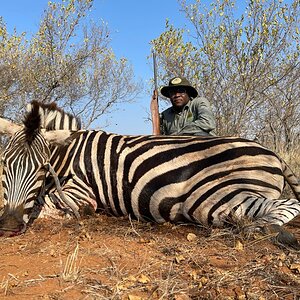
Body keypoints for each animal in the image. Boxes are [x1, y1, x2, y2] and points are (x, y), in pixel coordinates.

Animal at [0, 101, 298, 248]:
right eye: (4, 164)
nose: (9, 225)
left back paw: (262, 230)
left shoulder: (81, 191)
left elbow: (45, 205)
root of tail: (272, 153)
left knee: (286, 205)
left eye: (41, 167)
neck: (70, 153)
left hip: (211, 198)